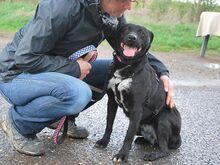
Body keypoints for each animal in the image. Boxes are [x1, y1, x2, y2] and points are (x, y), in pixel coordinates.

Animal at [95, 23, 181, 162]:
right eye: (126, 29)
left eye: (142, 33)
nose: (132, 38)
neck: (127, 65)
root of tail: (179, 139)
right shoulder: (112, 101)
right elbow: (109, 124)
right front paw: (104, 141)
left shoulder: (136, 110)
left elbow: (128, 134)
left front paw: (122, 155)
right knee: (154, 142)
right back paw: (142, 141)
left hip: (163, 119)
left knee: (165, 149)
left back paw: (153, 155)